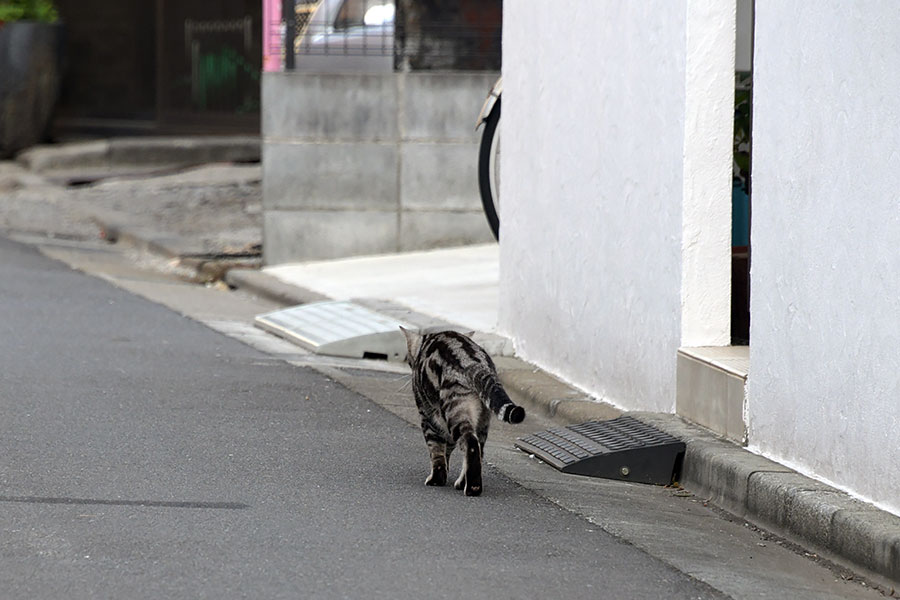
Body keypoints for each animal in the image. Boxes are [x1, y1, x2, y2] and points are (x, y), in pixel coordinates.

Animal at [402, 328, 528, 496]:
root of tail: (474, 364)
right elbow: (446, 451)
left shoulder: (428, 418)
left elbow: (436, 452)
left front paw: (436, 479)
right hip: (481, 420)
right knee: (478, 449)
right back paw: (464, 482)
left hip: (456, 411)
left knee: (471, 444)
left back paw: (472, 487)